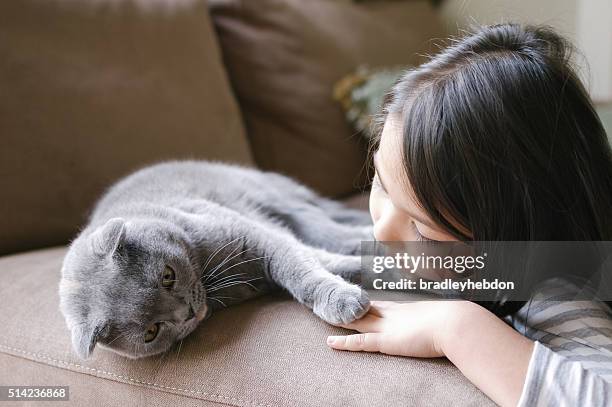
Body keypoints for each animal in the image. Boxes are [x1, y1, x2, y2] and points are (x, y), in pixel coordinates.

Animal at [58, 161, 372, 358]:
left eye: (168, 275)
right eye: (151, 332)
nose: (187, 313)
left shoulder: (254, 235)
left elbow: (302, 269)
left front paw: (343, 297)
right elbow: (316, 260)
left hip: (286, 202)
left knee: (336, 231)